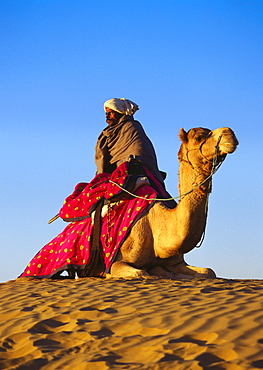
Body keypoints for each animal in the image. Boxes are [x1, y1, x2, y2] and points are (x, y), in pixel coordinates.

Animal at [108, 125, 240, 278]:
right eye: (198, 137)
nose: (229, 132)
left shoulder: (177, 263)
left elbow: (209, 271)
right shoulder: (117, 262)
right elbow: (142, 273)